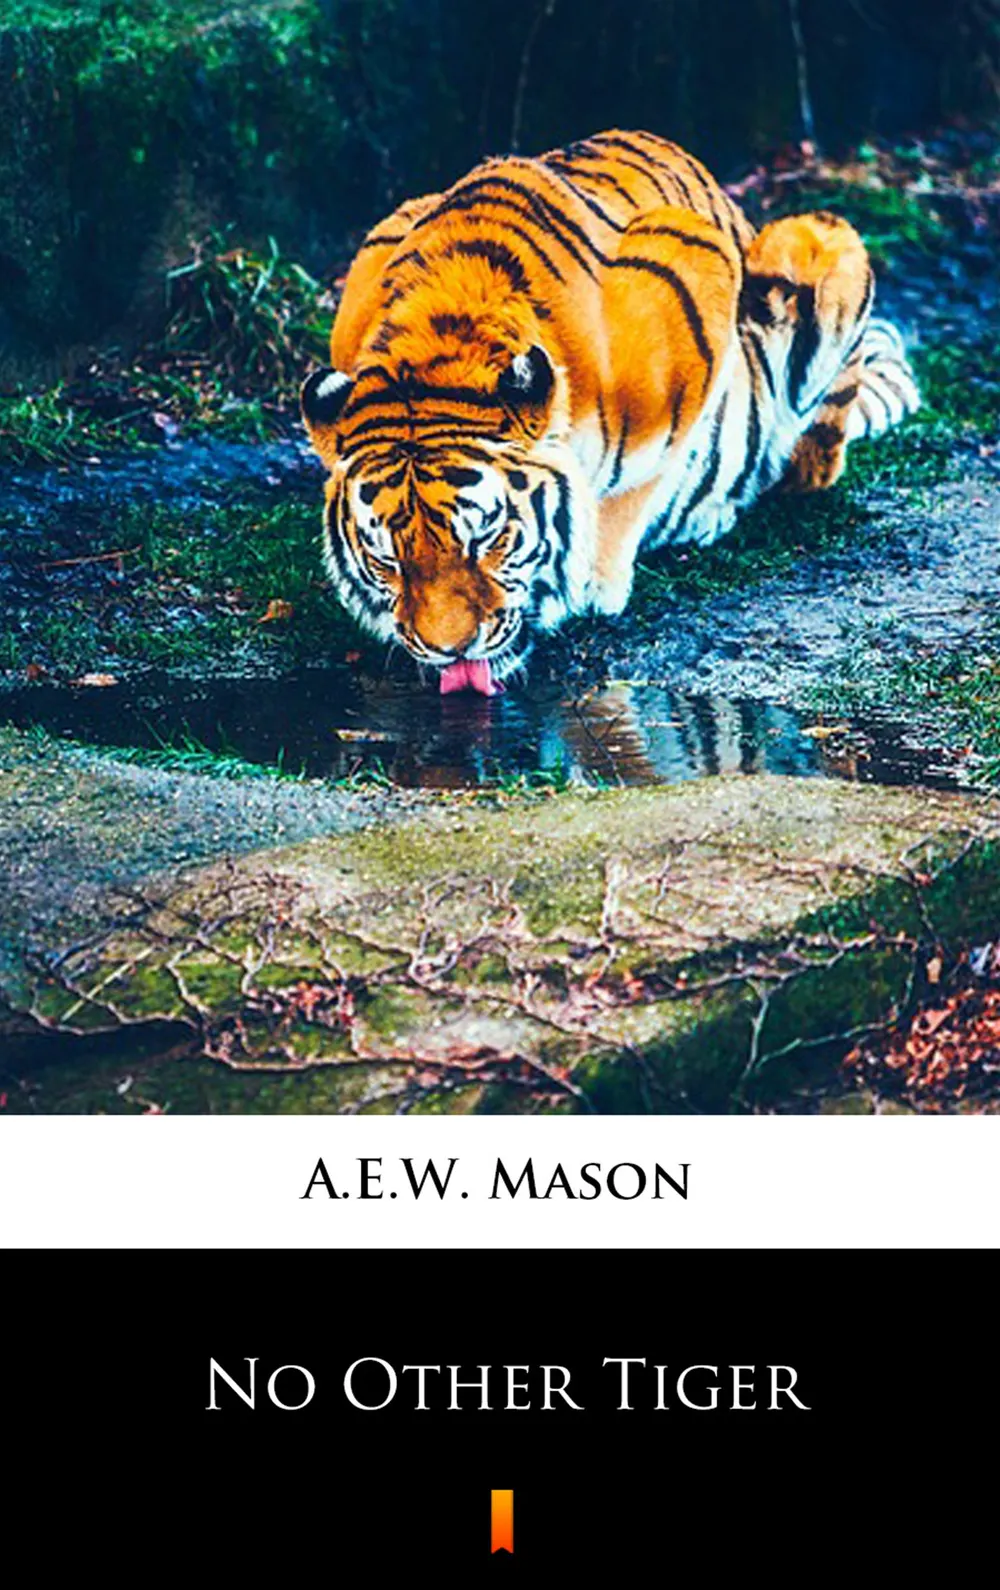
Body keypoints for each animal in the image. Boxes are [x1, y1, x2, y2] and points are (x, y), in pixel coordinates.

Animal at [300, 129, 919, 691]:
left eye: (486, 539)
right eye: (387, 559)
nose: (450, 649)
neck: (441, 339)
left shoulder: (697, 276)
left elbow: (637, 484)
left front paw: (594, 582)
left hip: (814, 240)